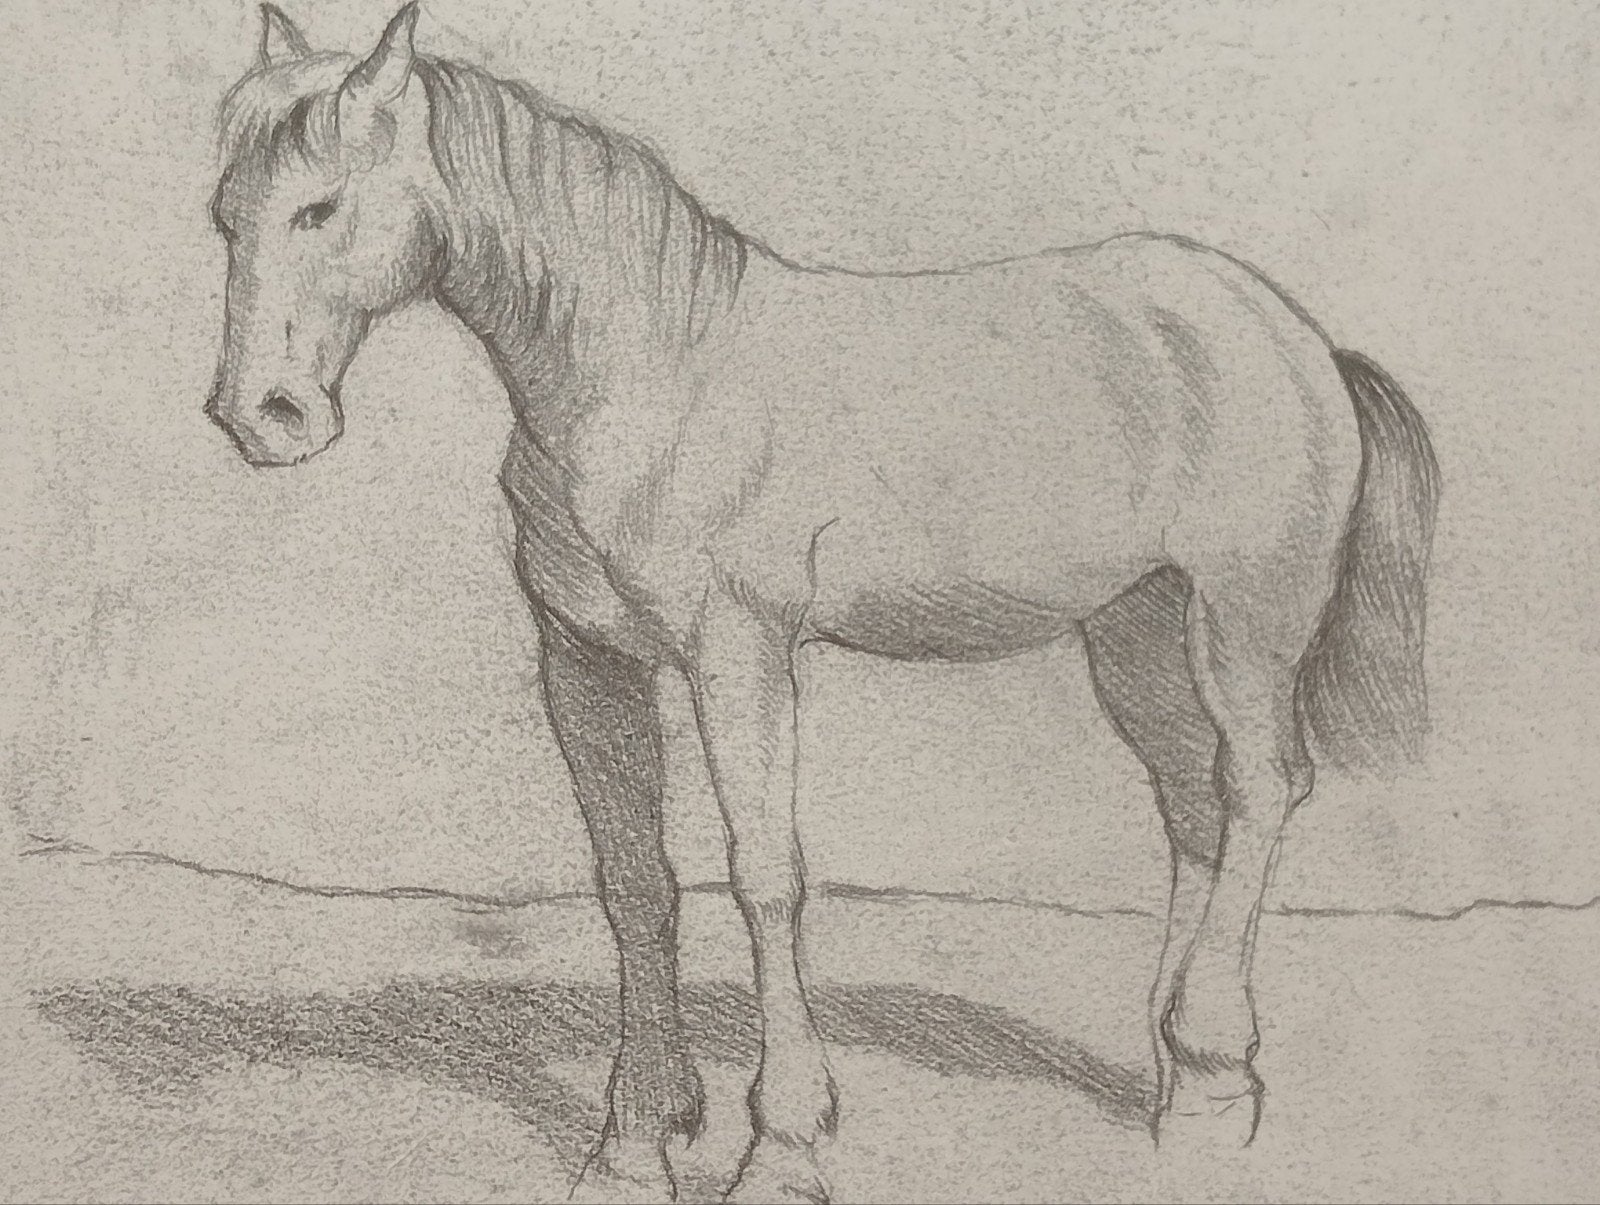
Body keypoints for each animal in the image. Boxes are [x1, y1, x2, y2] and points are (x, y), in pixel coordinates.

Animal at [204, 5, 1440, 1201]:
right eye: (225, 218)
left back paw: (1217, 1067)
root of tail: (1292, 336)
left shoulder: (739, 655)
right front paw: (634, 1141)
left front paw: (783, 1145)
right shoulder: (586, 662)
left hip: (1243, 622)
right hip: (1132, 628)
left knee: (1259, 788)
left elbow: (765, 878)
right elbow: (634, 882)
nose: (262, 416)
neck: (657, 375)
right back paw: (1181, 1087)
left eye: (320, 207)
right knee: (1193, 805)